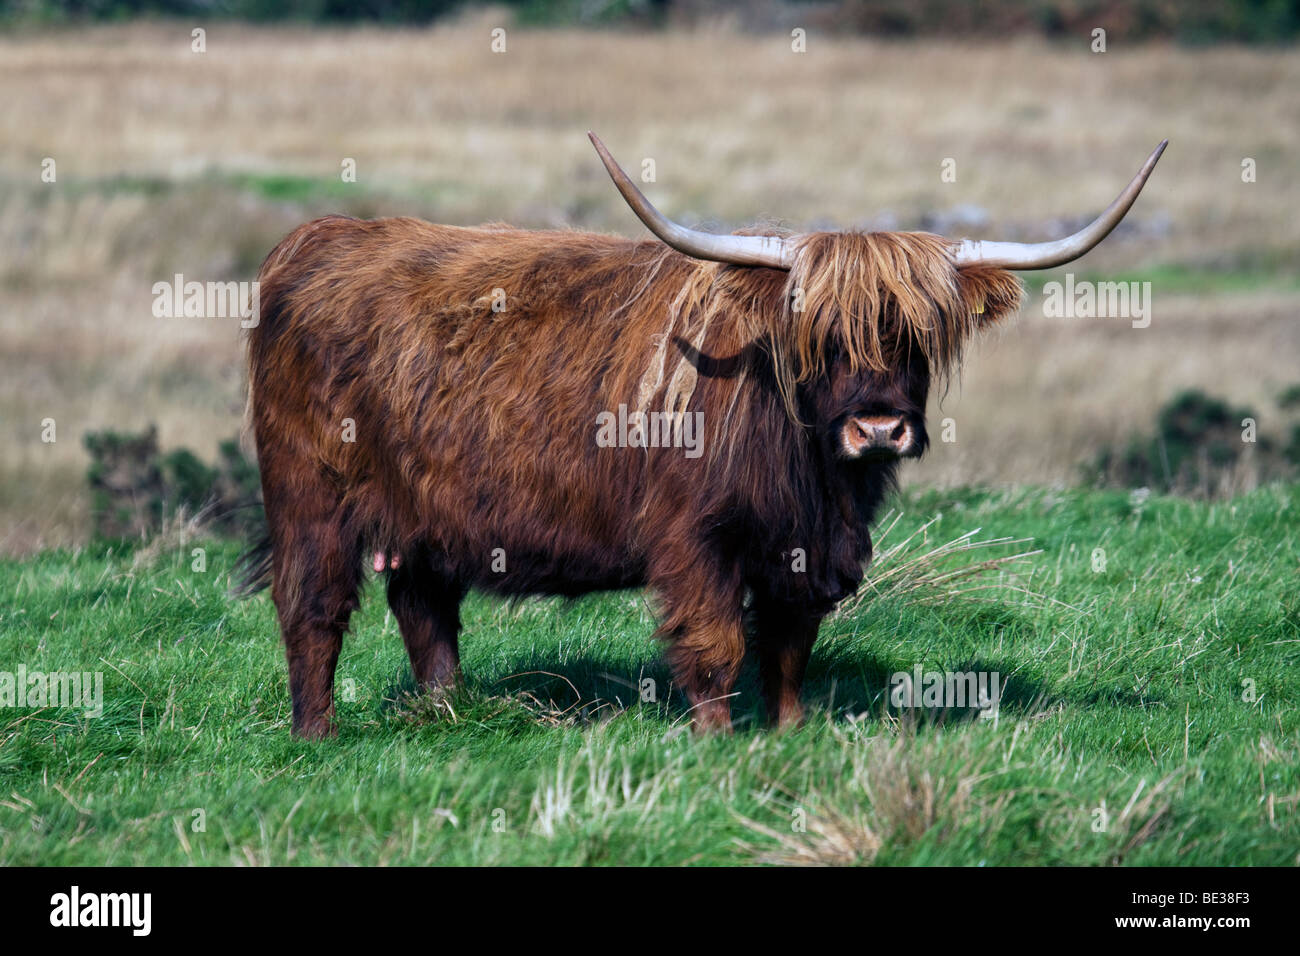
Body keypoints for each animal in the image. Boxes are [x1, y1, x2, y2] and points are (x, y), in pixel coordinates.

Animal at [237, 133, 1166, 737]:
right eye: (820, 334)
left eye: (912, 335)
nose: (877, 425)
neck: (808, 468)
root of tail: (316, 240)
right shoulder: (695, 539)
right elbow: (717, 642)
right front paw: (717, 746)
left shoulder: (810, 545)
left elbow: (789, 645)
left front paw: (790, 735)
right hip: (312, 499)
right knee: (313, 608)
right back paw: (318, 735)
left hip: (426, 514)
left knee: (425, 609)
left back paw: (447, 714)